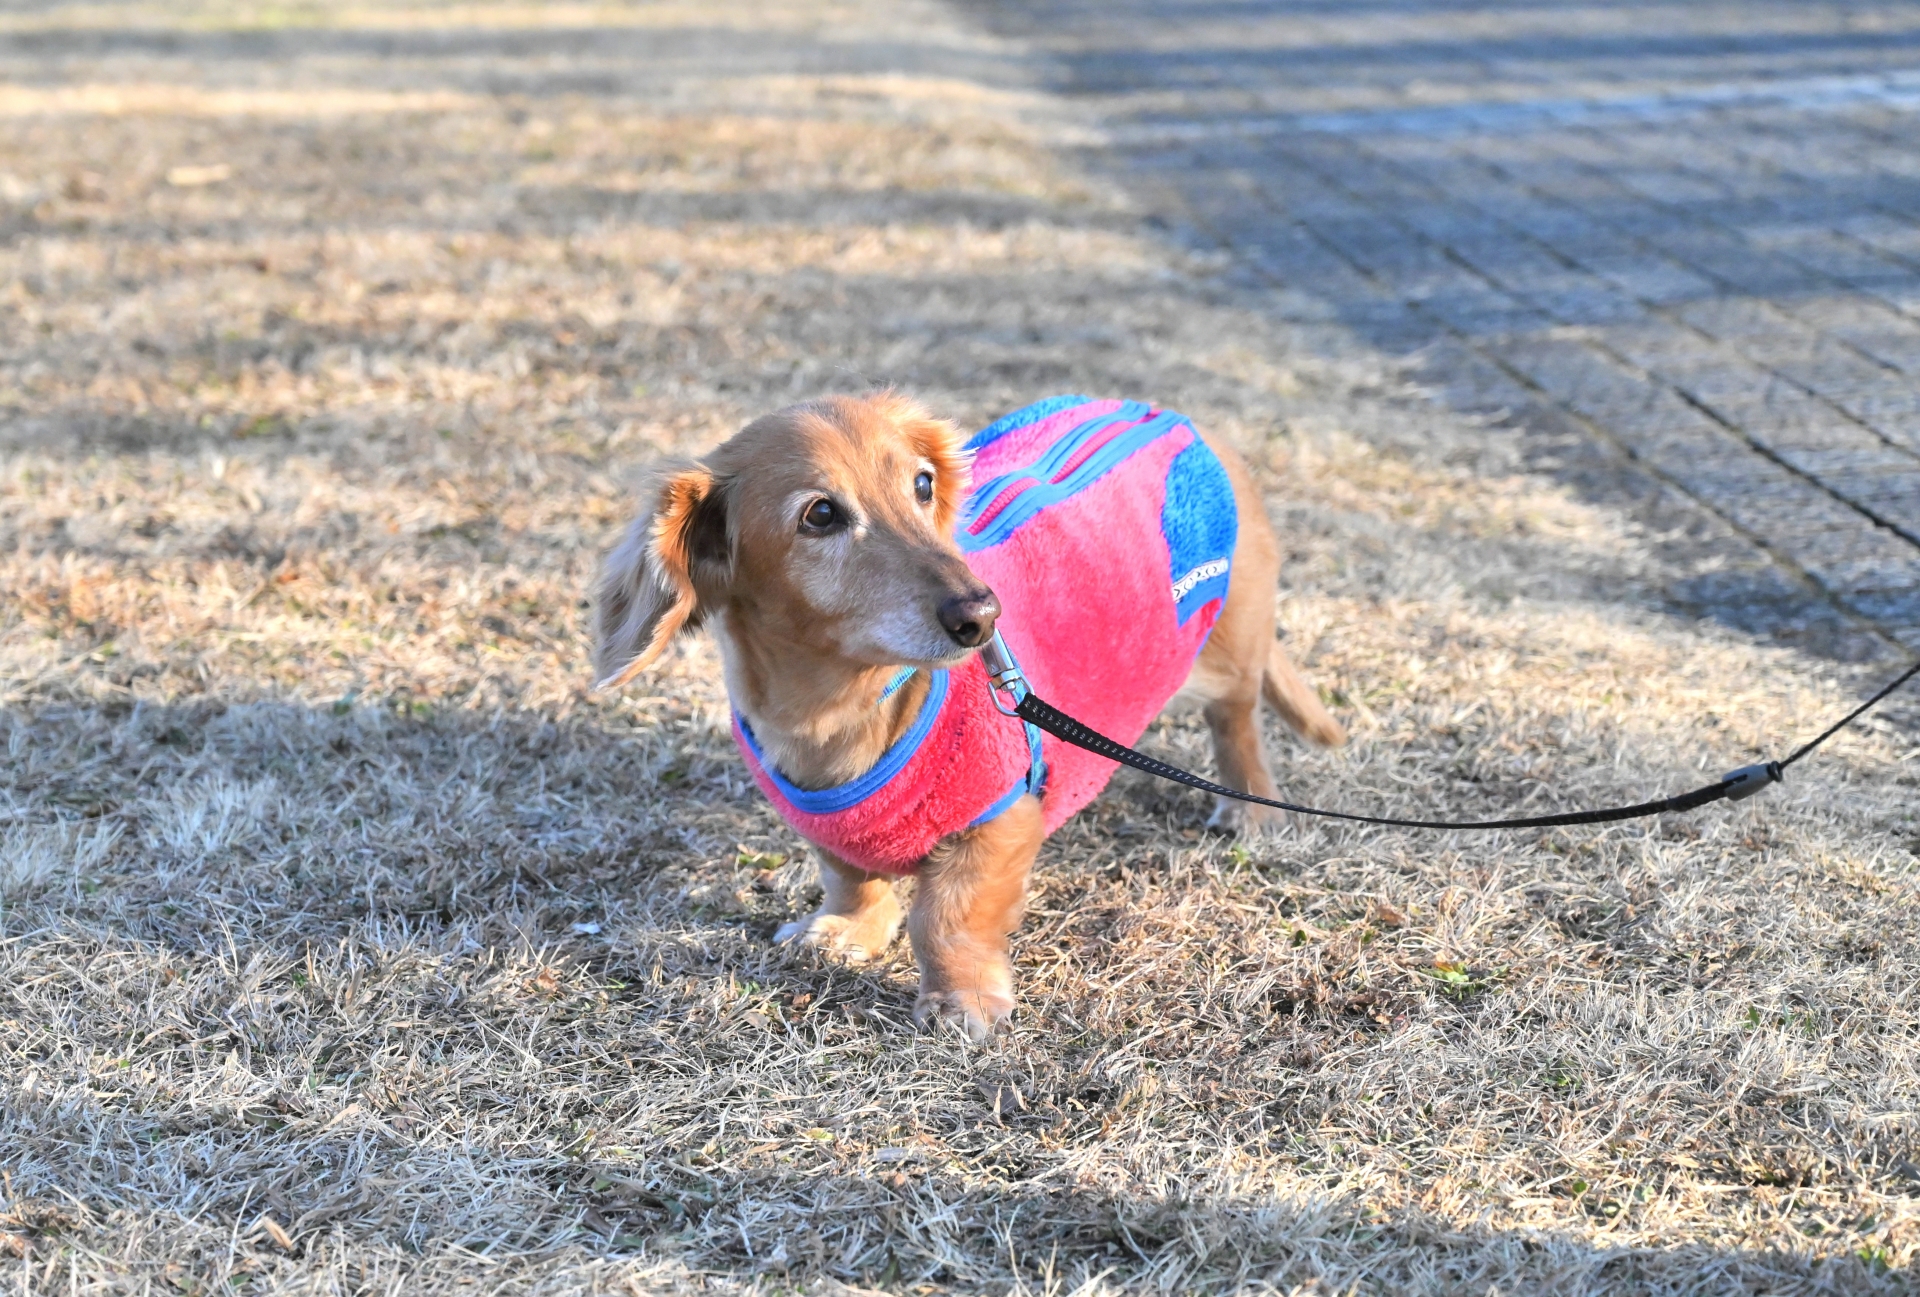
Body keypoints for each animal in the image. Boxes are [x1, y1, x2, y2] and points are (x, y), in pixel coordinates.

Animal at [591, 389, 1344, 1036]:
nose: (982, 615)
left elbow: (947, 917)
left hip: (1228, 646)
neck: (840, 713)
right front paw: (847, 929)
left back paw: (1249, 806)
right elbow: (849, 874)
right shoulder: (827, 825)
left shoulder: (1000, 819)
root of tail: (1178, 420)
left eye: (923, 485)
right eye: (820, 515)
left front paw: (962, 1002)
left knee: (1237, 721)